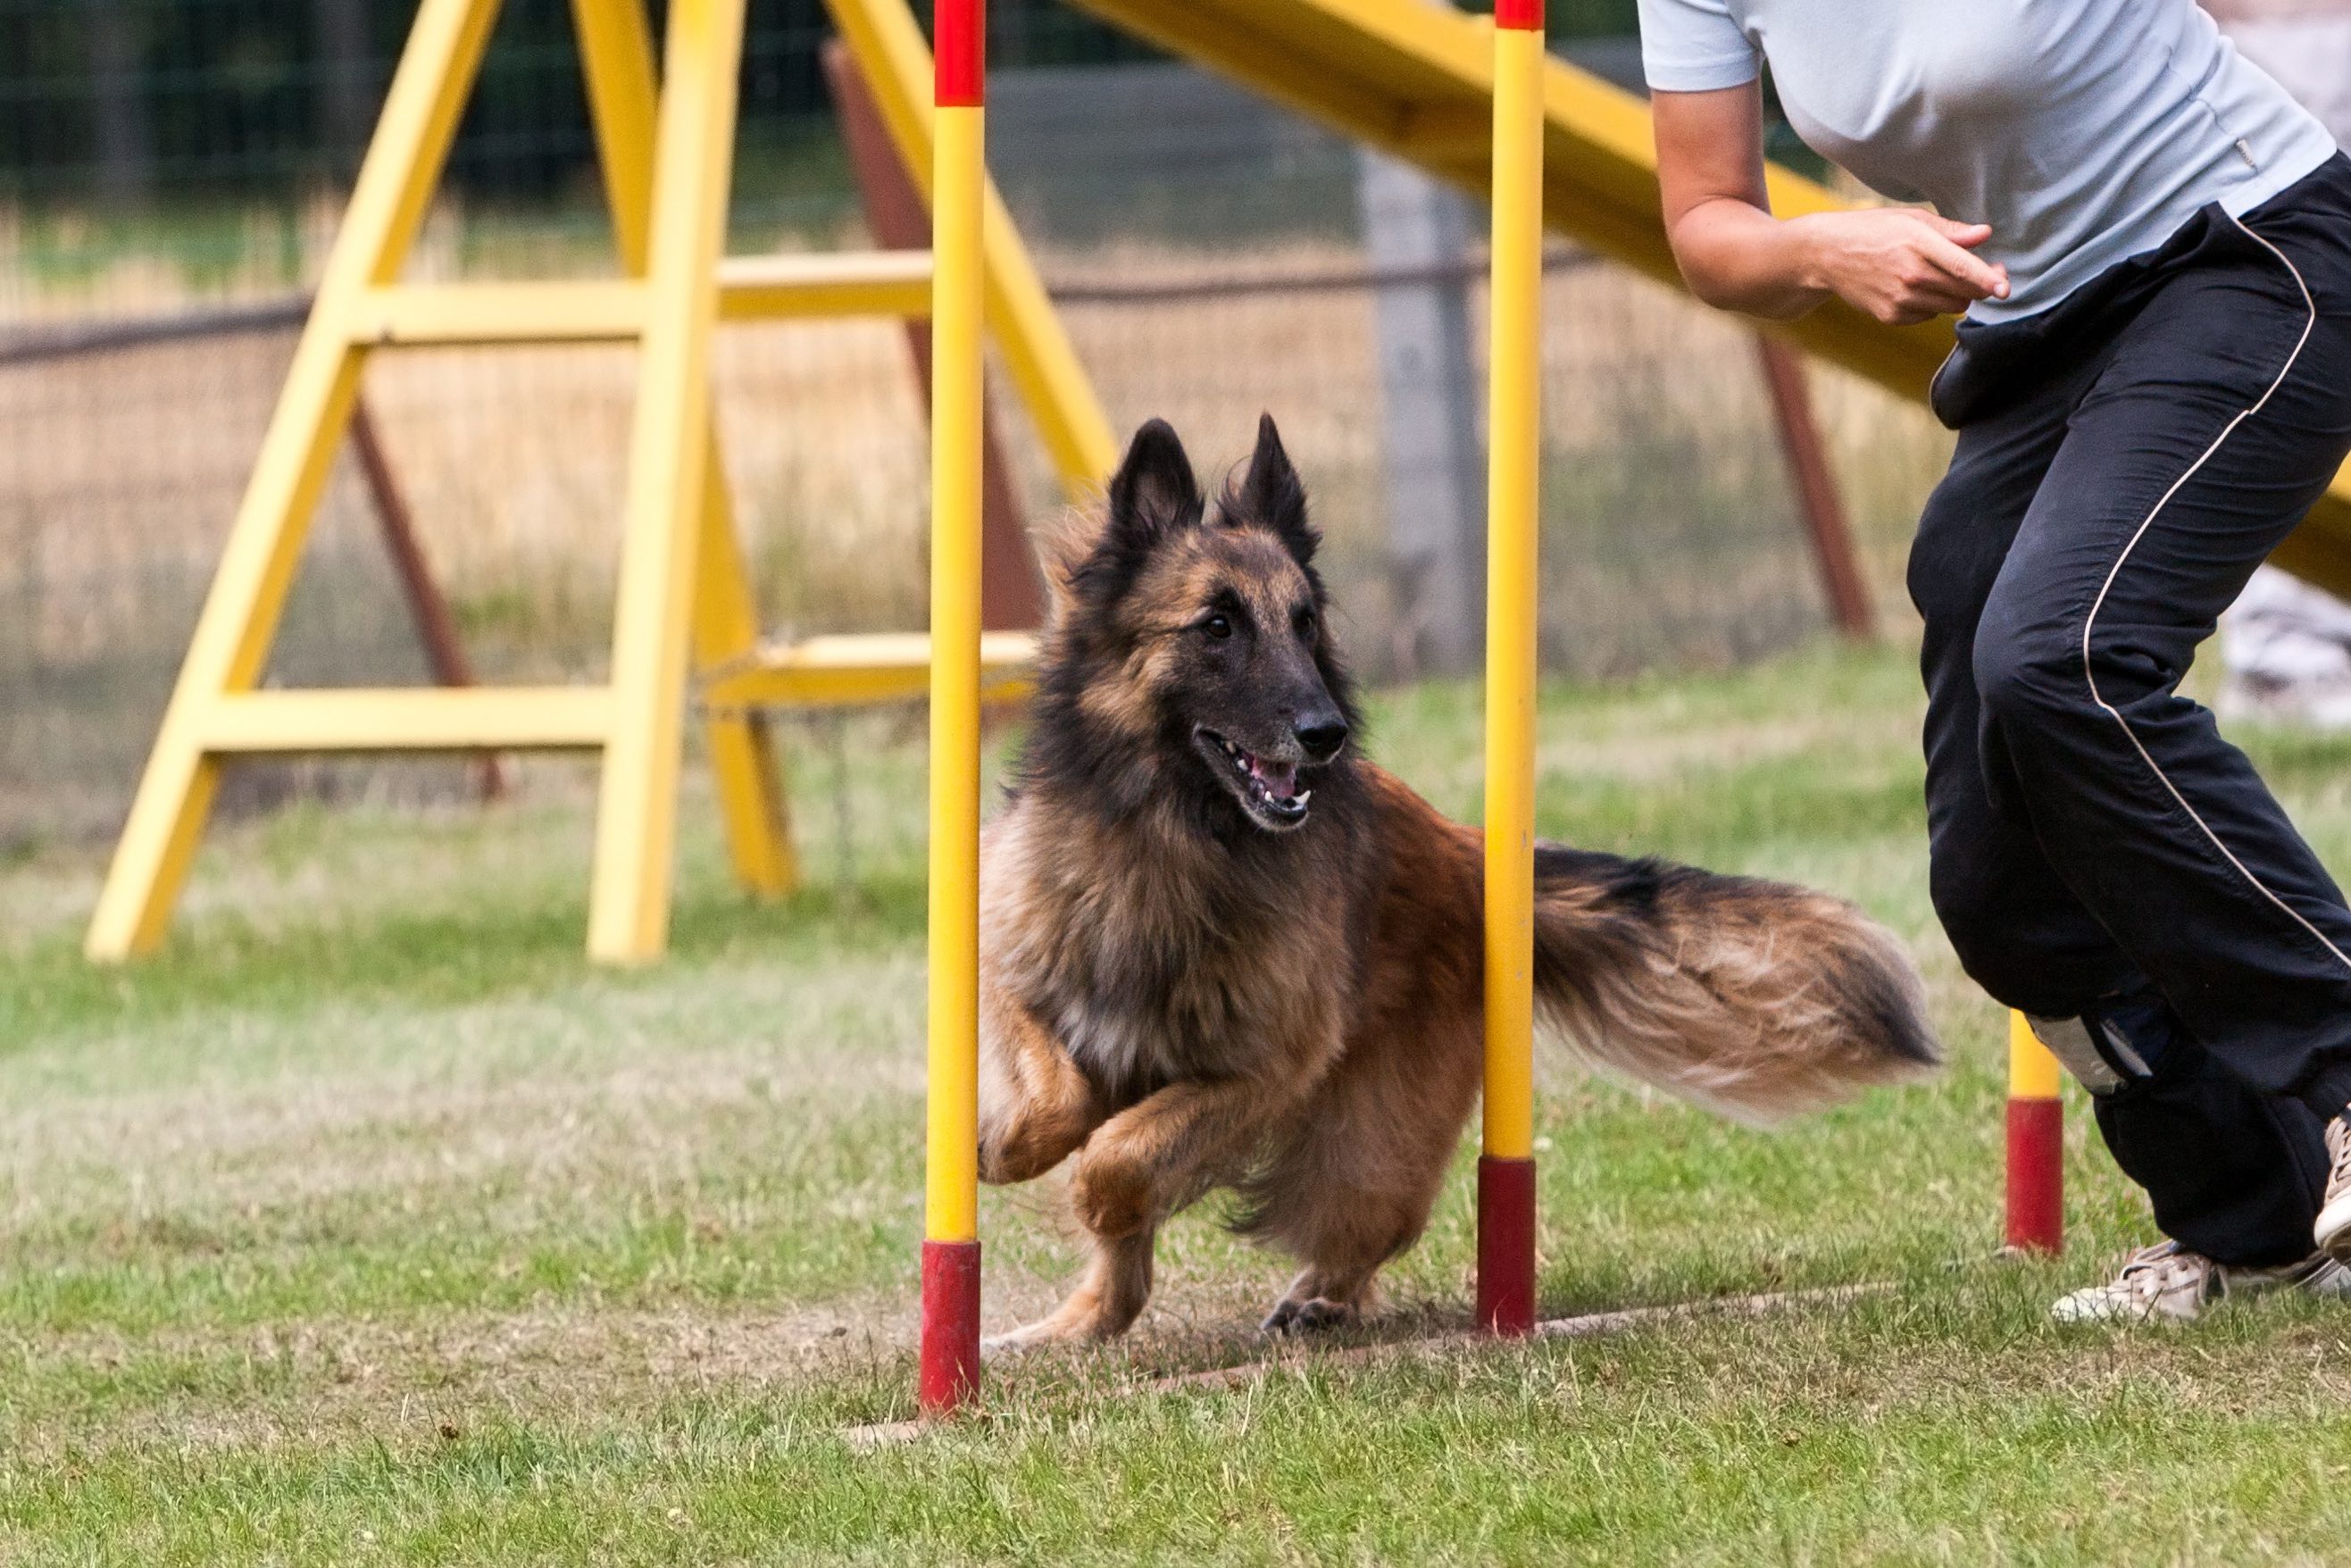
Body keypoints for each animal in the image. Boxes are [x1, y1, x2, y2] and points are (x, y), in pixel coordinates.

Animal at [968, 415, 1928, 1354]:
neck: (1169, 837)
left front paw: (1082, 1186)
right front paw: (1004, 1148)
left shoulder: (1265, 1065)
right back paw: (1076, 1326)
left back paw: (1319, 1301)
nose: (1325, 734)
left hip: (1364, 1146)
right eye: (1216, 626)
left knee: (1371, 1222)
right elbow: (1061, 1099)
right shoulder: (1010, 976)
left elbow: (1119, 1160)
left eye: (1305, 623)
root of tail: (1468, 852)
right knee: (1141, 1269)